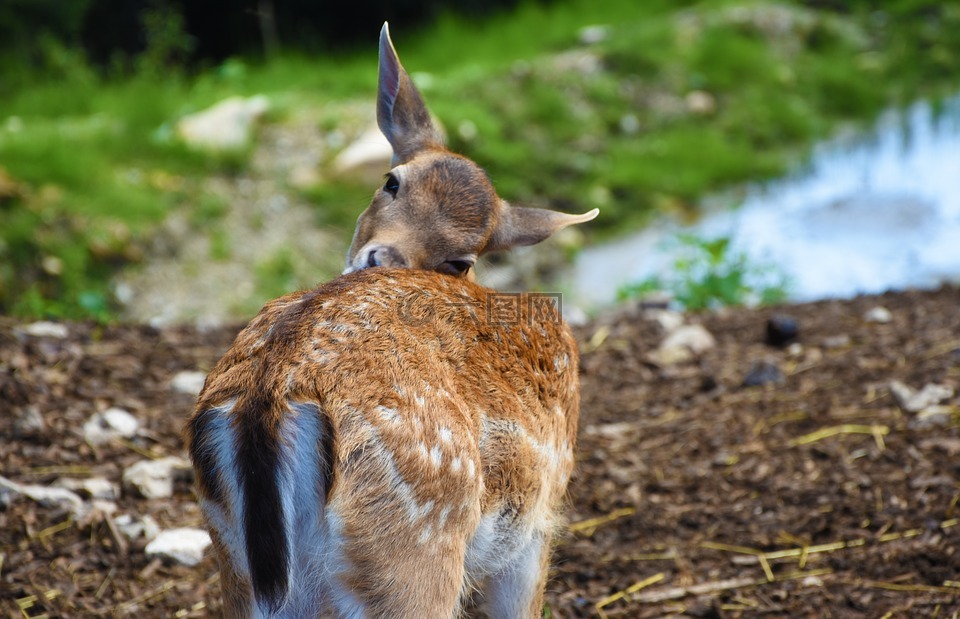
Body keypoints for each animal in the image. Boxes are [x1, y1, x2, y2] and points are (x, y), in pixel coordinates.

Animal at [184, 24, 596, 619]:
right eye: (392, 181)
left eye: (461, 260)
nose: (381, 259)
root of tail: (267, 397)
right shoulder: (539, 524)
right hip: (416, 540)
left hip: (237, 567)